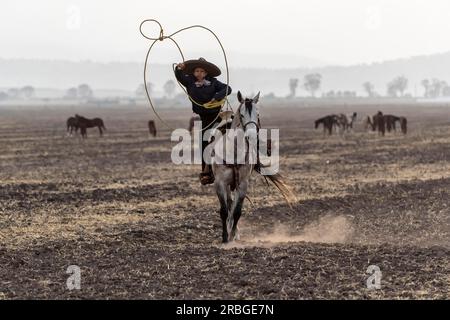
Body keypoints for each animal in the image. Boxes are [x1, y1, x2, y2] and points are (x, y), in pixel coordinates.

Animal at [213, 90, 298, 242]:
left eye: (257, 114)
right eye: (242, 115)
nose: (252, 136)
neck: (234, 153)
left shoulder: (243, 184)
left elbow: (237, 211)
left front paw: (233, 234)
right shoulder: (220, 183)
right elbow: (223, 211)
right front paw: (225, 237)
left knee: (232, 204)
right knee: (229, 203)